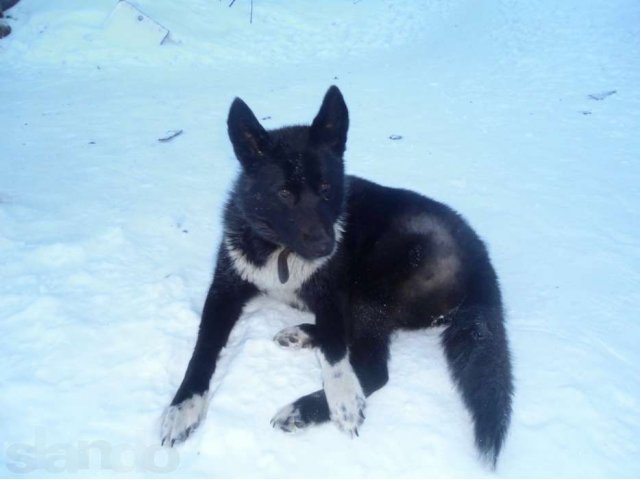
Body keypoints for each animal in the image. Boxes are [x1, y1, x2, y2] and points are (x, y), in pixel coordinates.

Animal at [161, 85, 516, 464]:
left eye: (327, 188)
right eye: (284, 192)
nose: (326, 246)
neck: (281, 251)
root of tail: (481, 259)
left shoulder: (333, 292)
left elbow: (336, 352)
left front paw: (343, 397)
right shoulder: (224, 290)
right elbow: (203, 348)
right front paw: (183, 407)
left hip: (373, 282)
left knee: (371, 367)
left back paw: (304, 407)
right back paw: (302, 335)